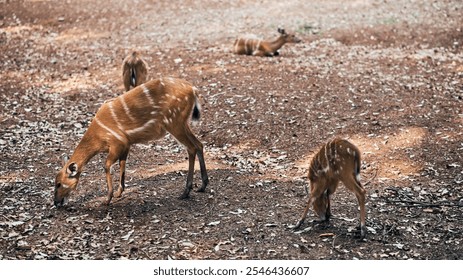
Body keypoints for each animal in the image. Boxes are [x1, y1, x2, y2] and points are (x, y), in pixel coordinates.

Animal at [53, 77, 210, 207]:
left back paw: (186, 192)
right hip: (182, 123)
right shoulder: (126, 144)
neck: (98, 137)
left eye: (59, 184)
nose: (56, 202)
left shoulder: (117, 143)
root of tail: (193, 90)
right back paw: (202, 185)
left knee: (191, 147)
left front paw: (107, 199)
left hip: (174, 122)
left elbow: (106, 165)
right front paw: (119, 192)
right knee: (199, 144)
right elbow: (122, 164)